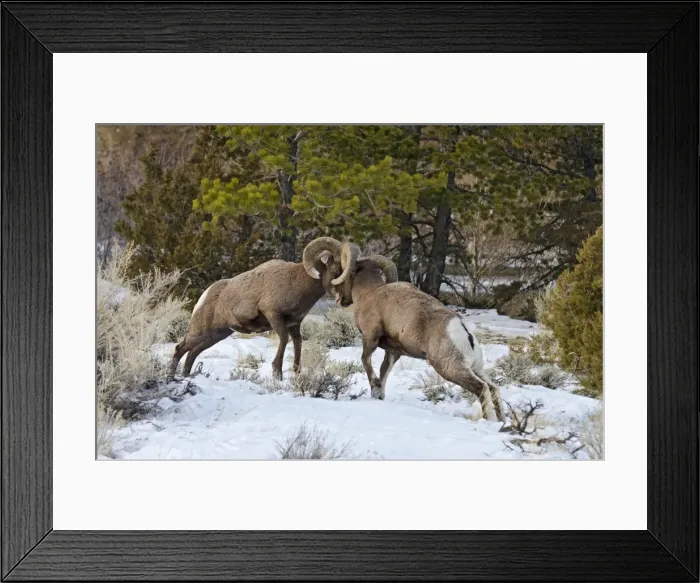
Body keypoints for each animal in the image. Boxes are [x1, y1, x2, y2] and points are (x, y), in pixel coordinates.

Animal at [169, 237, 360, 379]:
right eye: (336, 267)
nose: (345, 300)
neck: (296, 282)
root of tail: (205, 296)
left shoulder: (294, 324)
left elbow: (297, 344)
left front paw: (296, 373)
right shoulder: (274, 316)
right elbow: (284, 340)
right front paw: (277, 374)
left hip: (217, 335)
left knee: (192, 353)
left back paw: (185, 377)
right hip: (200, 332)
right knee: (180, 349)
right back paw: (171, 377)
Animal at [332, 255, 505, 422]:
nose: (339, 299)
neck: (371, 293)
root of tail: (463, 330)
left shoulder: (370, 337)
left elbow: (365, 360)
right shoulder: (393, 352)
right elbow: (383, 372)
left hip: (450, 368)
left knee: (481, 388)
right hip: (476, 368)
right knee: (493, 388)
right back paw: (502, 421)